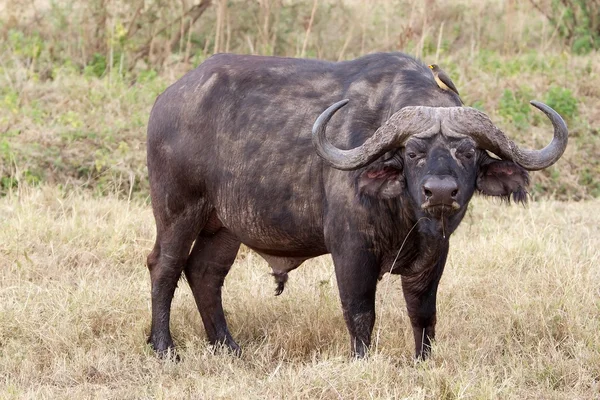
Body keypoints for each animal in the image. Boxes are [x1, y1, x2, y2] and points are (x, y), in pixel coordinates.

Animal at [145, 52, 568, 360]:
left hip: (223, 226)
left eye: (467, 153)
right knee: (164, 266)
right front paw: (361, 360)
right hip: (178, 210)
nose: (440, 192)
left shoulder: (435, 253)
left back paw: (228, 347)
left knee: (205, 273)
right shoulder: (351, 249)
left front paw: (422, 362)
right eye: (412, 152)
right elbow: (360, 311)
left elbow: (423, 313)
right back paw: (164, 348)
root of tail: (167, 99)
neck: (407, 216)